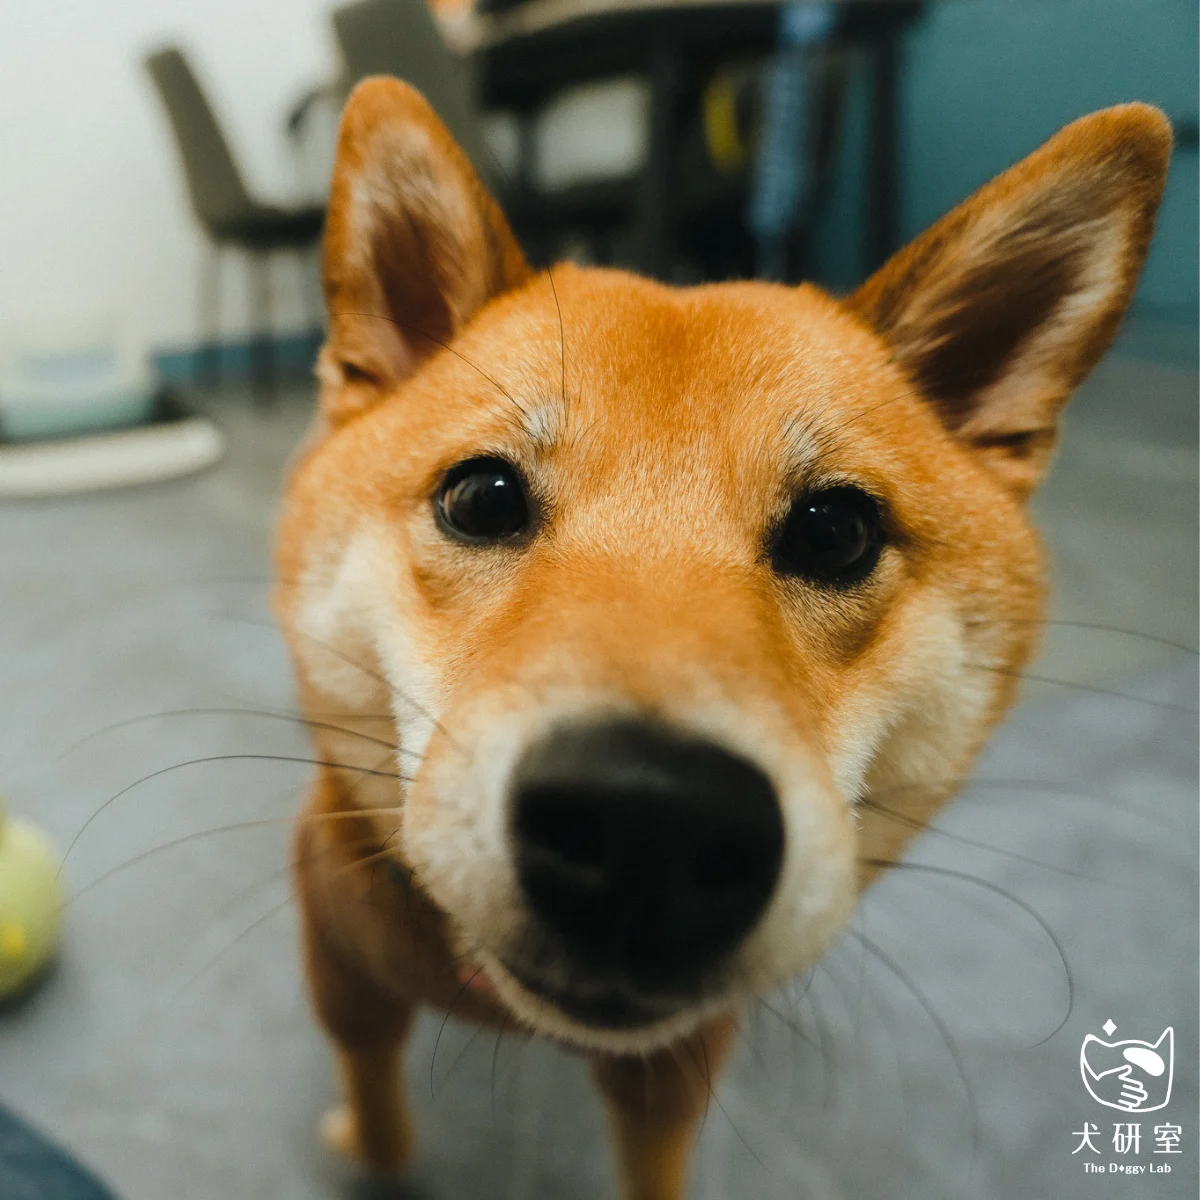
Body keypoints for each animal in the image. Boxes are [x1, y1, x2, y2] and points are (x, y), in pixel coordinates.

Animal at [274, 80, 1170, 1199]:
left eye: (835, 532)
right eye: (480, 499)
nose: (646, 823)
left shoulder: (669, 1073)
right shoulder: (345, 977)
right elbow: (382, 1112)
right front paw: (369, 1151)